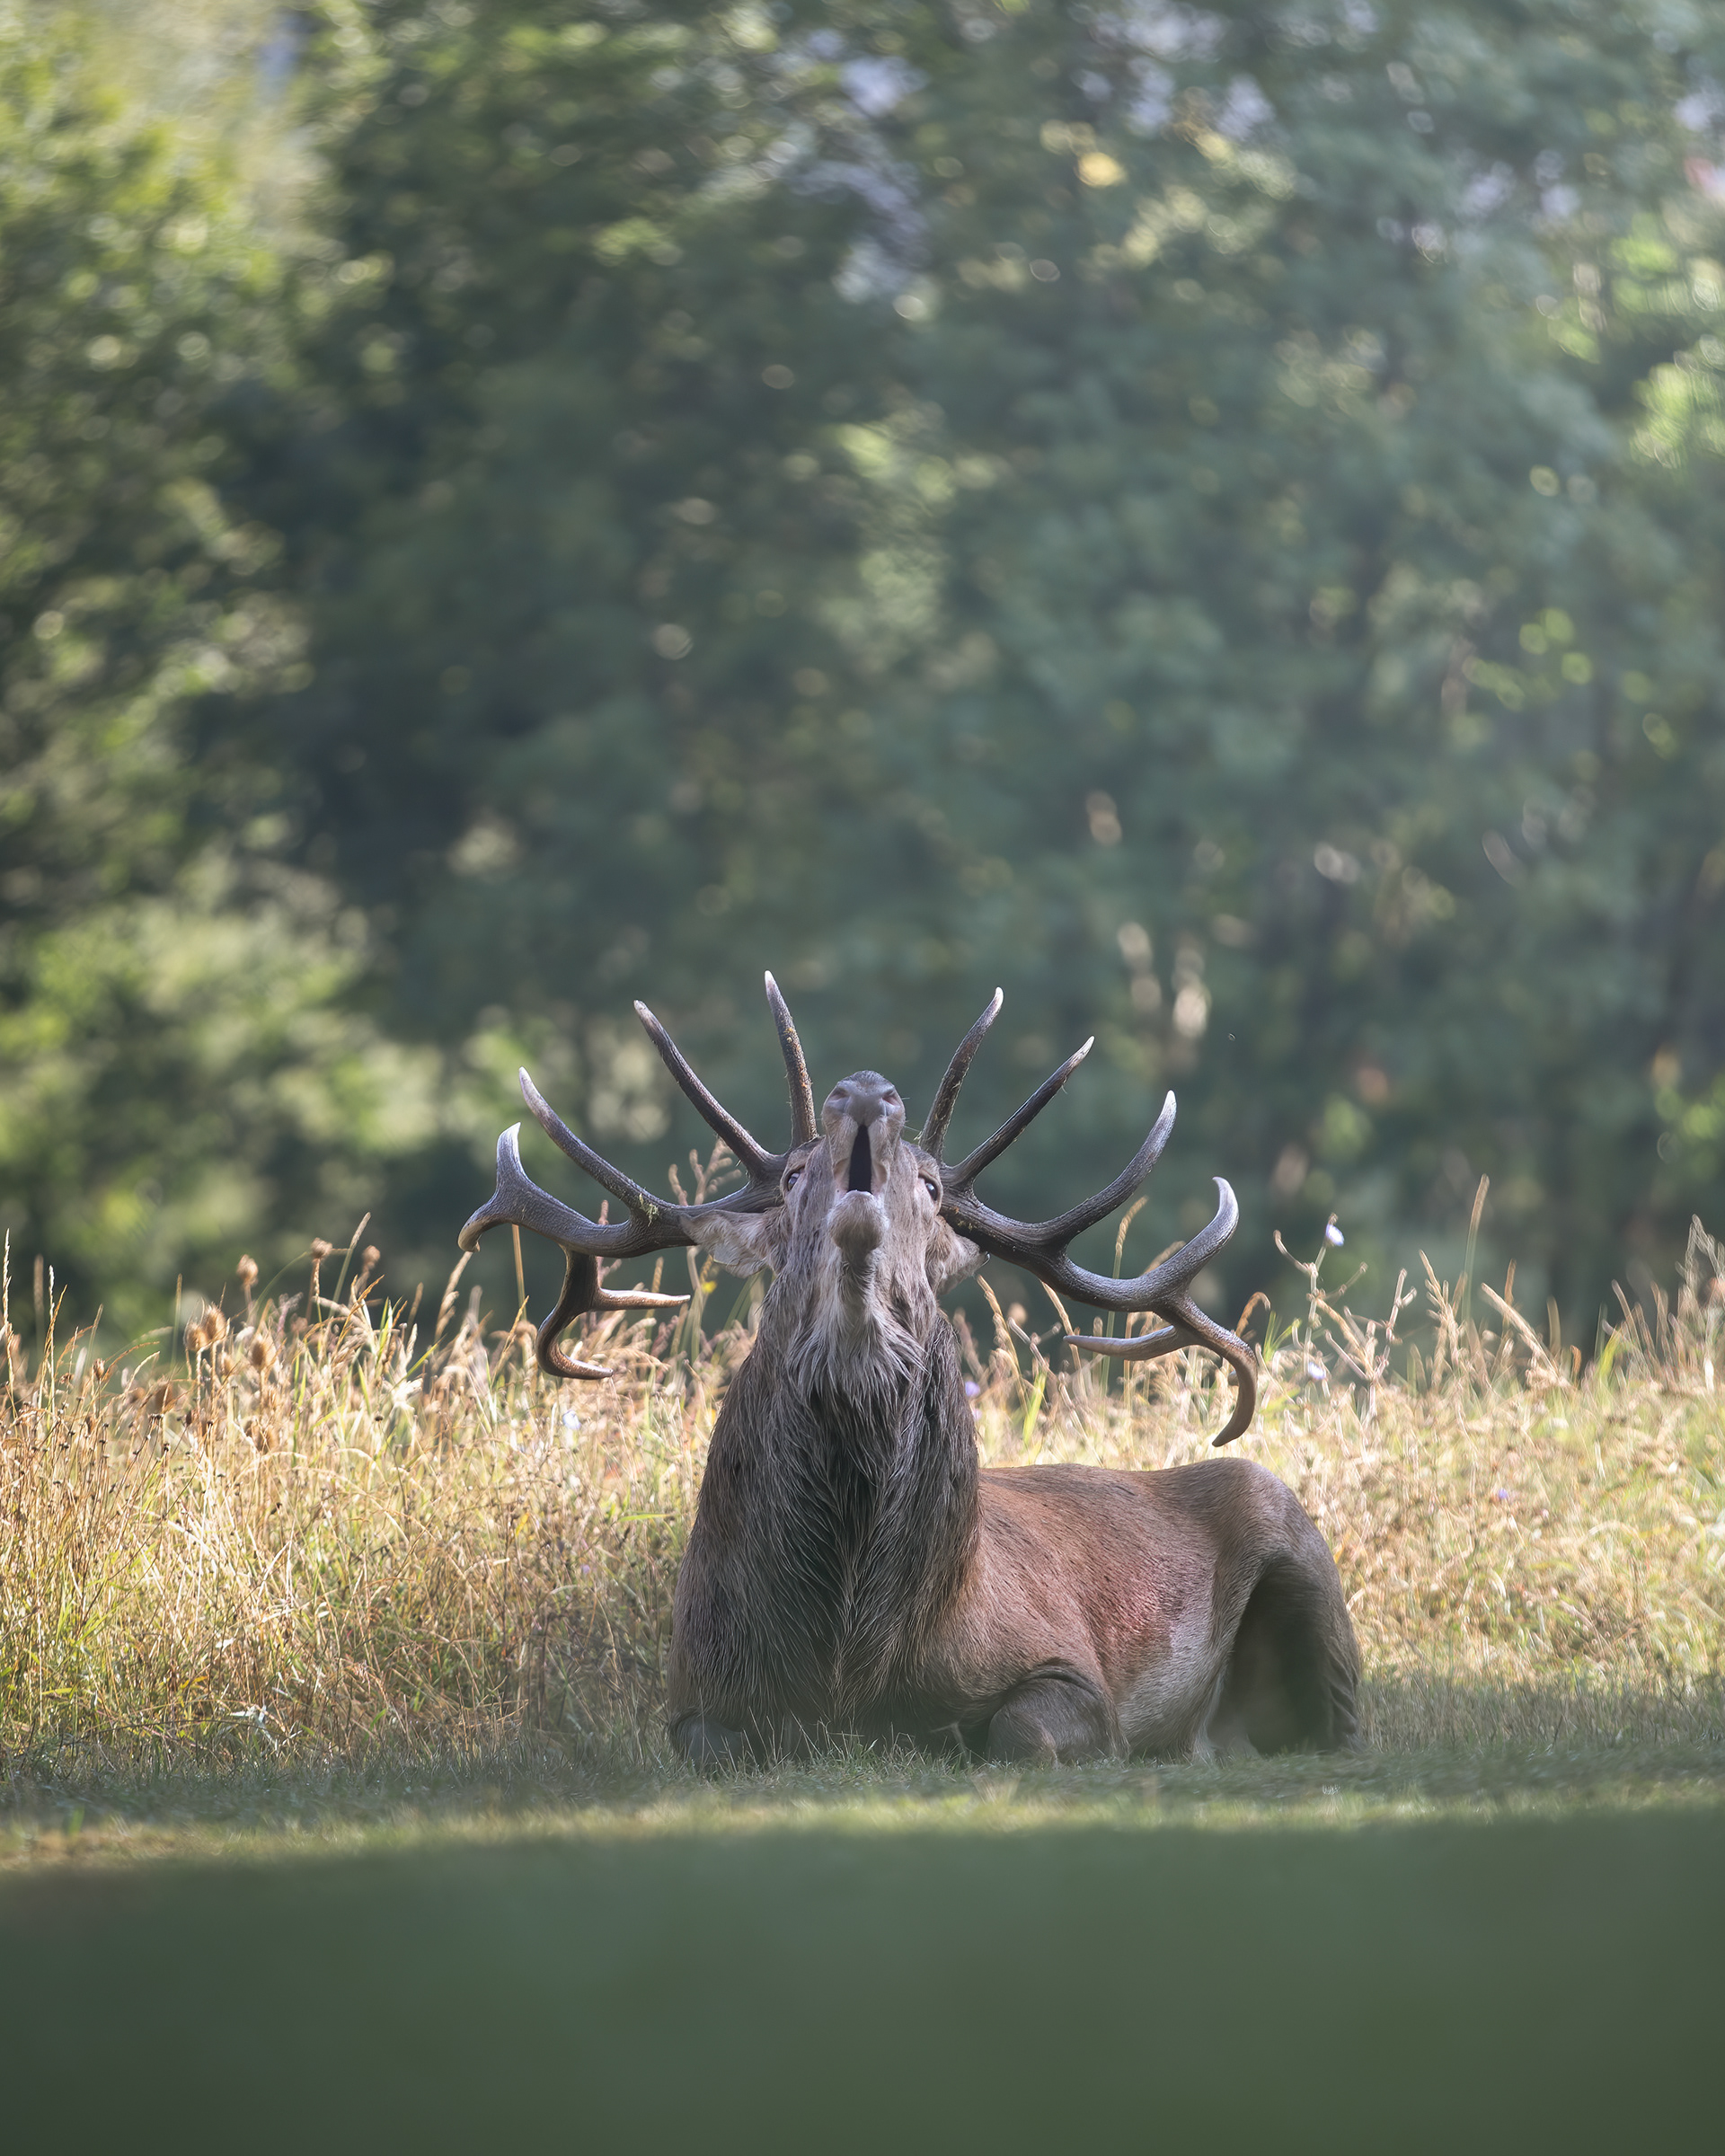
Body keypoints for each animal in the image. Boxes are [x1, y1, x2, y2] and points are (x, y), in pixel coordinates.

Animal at [460, 977, 1360, 1766]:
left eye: (930, 1187)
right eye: (793, 1176)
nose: (864, 1091)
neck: (853, 1665)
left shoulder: (1076, 1674)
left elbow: (1021, 1732)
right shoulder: (694, 1692)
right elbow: (719, 1747)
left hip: (1300, 1549)